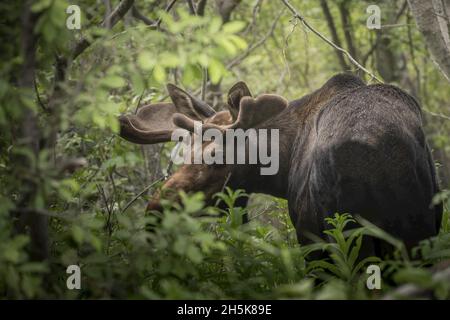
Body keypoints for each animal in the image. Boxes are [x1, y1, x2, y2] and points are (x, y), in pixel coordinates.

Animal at [118, 74, 442, 256]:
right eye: (184, 153)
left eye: (217, 157)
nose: (155, 208)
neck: (282, 172)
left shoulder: (309, 237)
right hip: (415, 233)